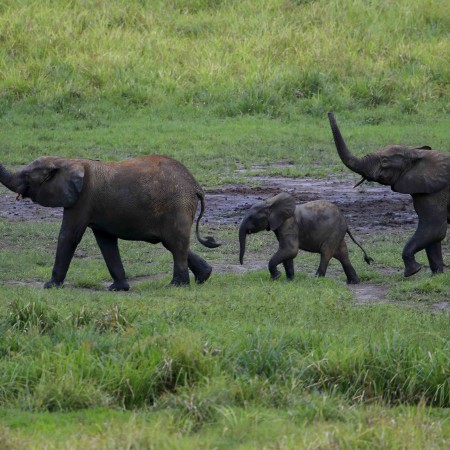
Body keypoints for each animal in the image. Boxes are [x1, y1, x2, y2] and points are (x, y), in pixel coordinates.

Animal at [0, 154, 220, 288]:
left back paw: (176, 285)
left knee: (176, 242)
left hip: (177, 206)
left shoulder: (82, 200)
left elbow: (68, 237)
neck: (68, 161)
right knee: (172, 243)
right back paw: (204, 276)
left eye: (27, 175)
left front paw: (50, 286)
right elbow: (106, 242)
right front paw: (118, 288)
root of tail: (196, 187)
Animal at [239, 192, 372, 284]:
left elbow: (290, 250)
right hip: (337, 233)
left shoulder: (289, 224)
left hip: (335, 231)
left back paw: (317, 279)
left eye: (252, 218)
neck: (270, 203)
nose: (242, 263)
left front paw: (276, 277)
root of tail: (345, 221)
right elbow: (288, 253)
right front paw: (289, 281)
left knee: (326, 252)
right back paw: (354, 282)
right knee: (342, 254)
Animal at [326, 111, 450, 278]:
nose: (330, 112)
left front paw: (413, 271)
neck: (416, 153)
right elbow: (434, 235)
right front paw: (436, 275)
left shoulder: (437, 190)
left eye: (384, 162)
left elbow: (433, 228)